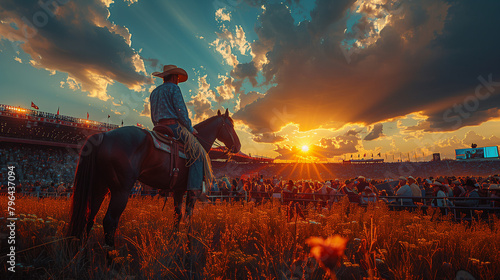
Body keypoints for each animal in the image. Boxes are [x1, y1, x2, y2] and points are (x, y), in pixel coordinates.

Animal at [67, 109, 241, 247]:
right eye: (230, 125)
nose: (238, 147)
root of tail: (103, 135)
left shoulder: (178, 190)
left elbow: (177, 215)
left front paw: (174, 239)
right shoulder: (192, 191)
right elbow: (188, 216)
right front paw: (189, 243)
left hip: (100, 186)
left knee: (90, 215)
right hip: (120, 190)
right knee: (110, 221)